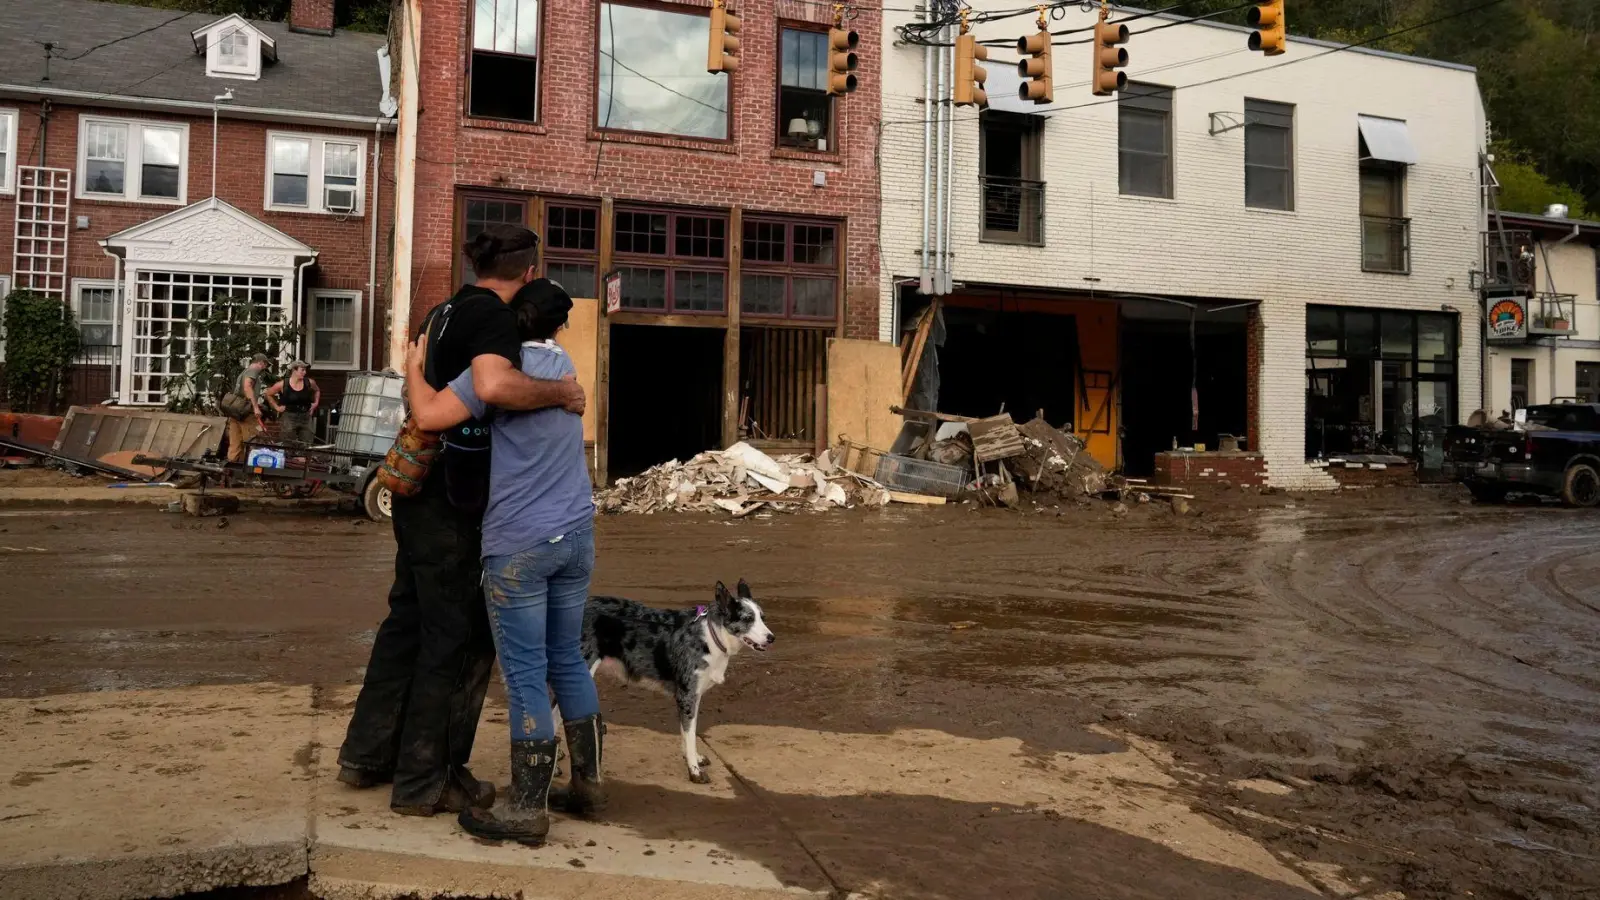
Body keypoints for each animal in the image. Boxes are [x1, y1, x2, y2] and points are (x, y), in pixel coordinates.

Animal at [582, 582, 774, 778]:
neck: (710, 635)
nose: (771, 638)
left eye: (762, 617)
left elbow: (688, 730)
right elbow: (690, 733)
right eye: (747, 619)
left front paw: (694, 758)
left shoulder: (692, 696)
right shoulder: (687, 695)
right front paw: (694, 770)